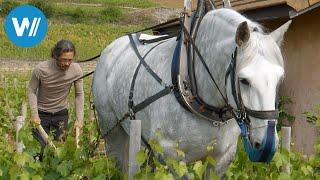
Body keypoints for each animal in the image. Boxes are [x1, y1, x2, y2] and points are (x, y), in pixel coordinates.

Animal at [91, 8, 292, 176]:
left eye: (279, 79)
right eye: (244, 80)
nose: (266, 146)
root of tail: (111, 49)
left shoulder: (222, 158)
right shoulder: (171, 155)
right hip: (113, 131)